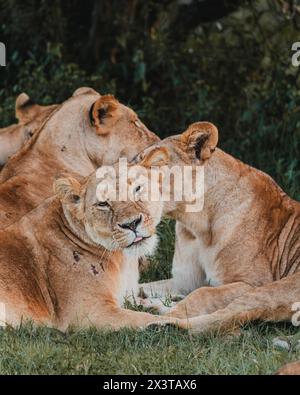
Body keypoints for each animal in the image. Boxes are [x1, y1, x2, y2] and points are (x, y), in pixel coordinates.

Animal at [0, 169, 190, 332]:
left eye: (137, 189)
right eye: (103, 204)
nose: (132, 224)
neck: (124, 260)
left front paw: (170, 301)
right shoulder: (88, 313)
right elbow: (146, 318)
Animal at [135, 123, 300, 334]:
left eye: (156, 163)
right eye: (138, 159)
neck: (196, 226)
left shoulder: (250, 282)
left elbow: (202, 294)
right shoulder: (185, 281)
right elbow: (140, 285)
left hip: (273, 289)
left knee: (219, 319)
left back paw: (154, 322)